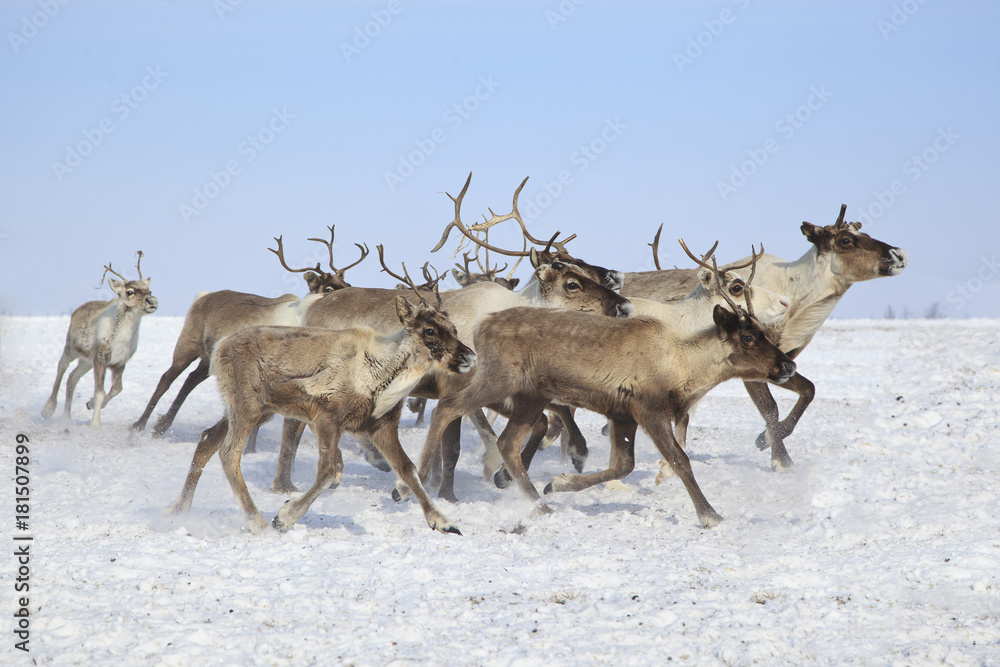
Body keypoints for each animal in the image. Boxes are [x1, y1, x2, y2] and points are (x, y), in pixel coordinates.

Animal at [42, 252, 158, 428]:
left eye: (149, 290)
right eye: (130, 292)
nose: (152, 301)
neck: (121, 339)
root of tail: (77, 310)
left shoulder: (119, 362)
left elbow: (117, 389)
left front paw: (90, 404)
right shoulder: (100, 357)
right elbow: (99, 391)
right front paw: (95, 424)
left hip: (86, 361)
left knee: (72, 377)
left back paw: (66, 419)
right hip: (71, 349)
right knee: (62, 366)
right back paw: (48, 409)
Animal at [130, 227, 369, 446]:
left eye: (346, 284)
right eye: (328, 288)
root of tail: (203, 296)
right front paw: (249, 447)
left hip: (209, 357)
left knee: (191, 379)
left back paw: (161, 425)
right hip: (188, 343)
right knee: (167, 378)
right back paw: (139, 426)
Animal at [164, 268, 476, 536]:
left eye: (453, 327)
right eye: (429, 330)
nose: (470, 356)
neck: (384, 373)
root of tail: (220, 349)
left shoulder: (381, 425)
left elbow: (408, 469)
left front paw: (444, 522)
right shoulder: (327, 418)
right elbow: (329, 472)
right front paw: (284, 517)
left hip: (253, 409)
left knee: (207, 439)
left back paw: (178, 508)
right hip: (247, 407)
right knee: (229, 454)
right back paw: (258, 523)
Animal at [402, 264, 797, 528]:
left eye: (763, 331)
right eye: (748, 337)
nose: (788, 365)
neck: (683, 363)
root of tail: (482, 326)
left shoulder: (621, 414)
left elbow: (623, 465)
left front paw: (559, 482)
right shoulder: (648, 410)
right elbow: (680, 460)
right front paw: (710, 515)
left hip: (530, 398)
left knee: (508, 443)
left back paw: (539, 504)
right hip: (497, 381)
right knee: (447, 408)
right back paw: (407, 486)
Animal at [623, 205, 907, 472]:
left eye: (865, 234)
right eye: (846, 240)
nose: (900, 254)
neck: (798, 304)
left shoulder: (782, 360)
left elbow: (808, 389)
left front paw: (765, 439)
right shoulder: (750, 364)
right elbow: (771, 407)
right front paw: (781, 460)